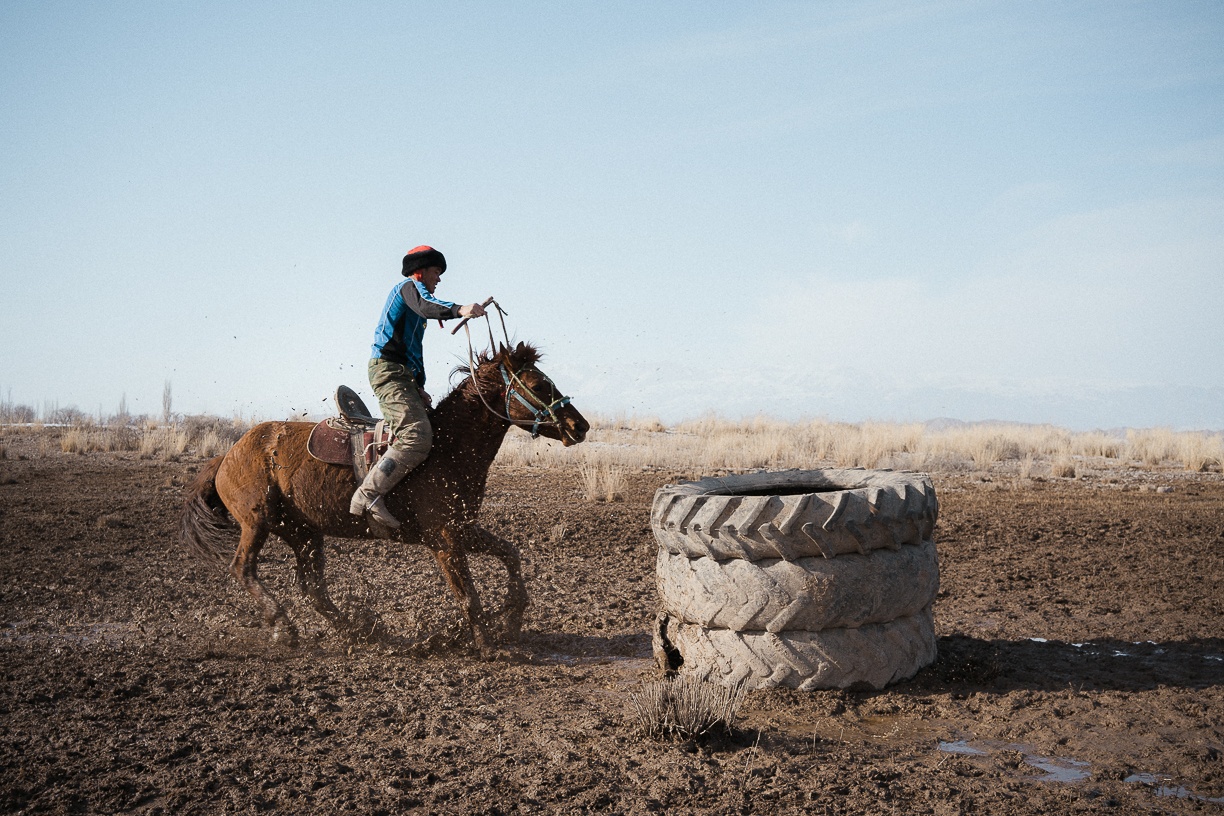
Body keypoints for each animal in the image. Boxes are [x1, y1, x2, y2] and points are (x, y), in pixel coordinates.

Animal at [178, 342, 589, 655]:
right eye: (539, 384)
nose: (579, 425)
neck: (447, 448)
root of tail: (228, 455)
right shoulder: (444, 538)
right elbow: (467, 593)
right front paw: (487, 644)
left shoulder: (462, 528)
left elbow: (510, 554)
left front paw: (513, 617)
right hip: (257, 522)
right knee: (243, 568)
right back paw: (284, 627)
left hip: (303, 532)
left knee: (313, 588)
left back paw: (361, 633)